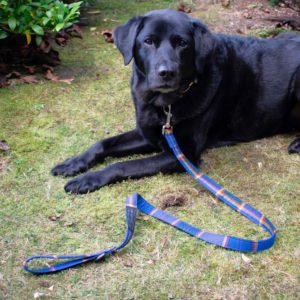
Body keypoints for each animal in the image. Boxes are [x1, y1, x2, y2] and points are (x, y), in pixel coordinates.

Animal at [51, 9, 300, 193]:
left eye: (182, 43)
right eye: (148, 41)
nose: (167, 72)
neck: (163, 103)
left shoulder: (182, 154)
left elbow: (124, 164)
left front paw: (89, 179)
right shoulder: (148, 133)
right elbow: (103, 143)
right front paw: (74, 163)